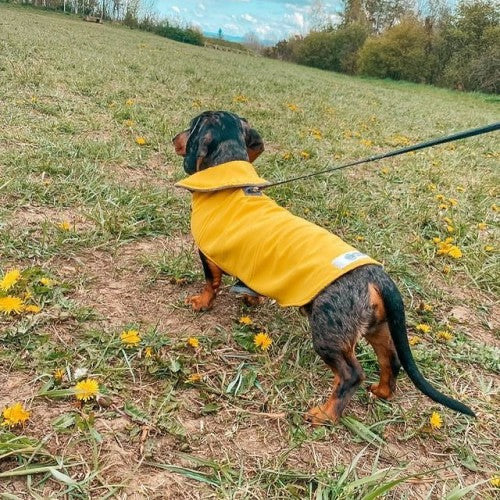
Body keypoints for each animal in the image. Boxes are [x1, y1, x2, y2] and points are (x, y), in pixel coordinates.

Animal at [174, 111, 474, 424]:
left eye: (191, 126)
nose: (174, 139)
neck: (232, 186)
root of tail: (377, 276)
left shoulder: (207, 253)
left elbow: (211, 282)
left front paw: (201, 302)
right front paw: (249, 299)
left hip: (328, 333)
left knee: (352, 375)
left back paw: (325, 414)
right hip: (375, 327)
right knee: (390, 360)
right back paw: (382, 392)